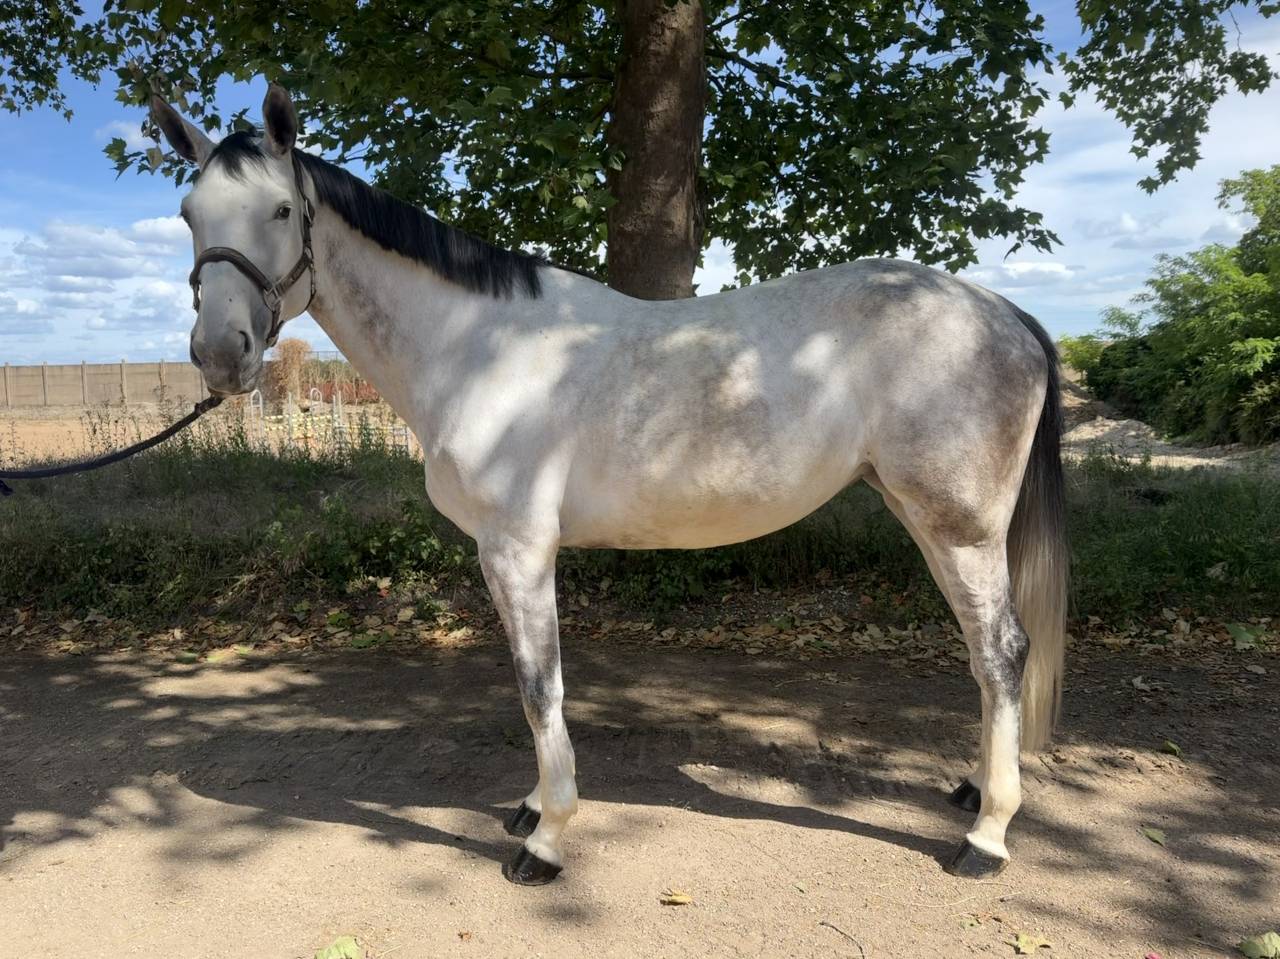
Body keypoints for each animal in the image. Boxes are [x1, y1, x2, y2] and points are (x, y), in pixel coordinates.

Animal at [150, 82, 1066, 886]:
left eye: (280, 210)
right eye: (189, 216)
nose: (221, 355)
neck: (477, 346)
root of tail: (1007, 315)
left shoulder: (520, 548)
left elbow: (539, 685)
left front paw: (547, 839)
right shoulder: (500, 555)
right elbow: (532, 683)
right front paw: (530, 806)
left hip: (959, 527)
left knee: (1001, 652)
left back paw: (986, 837)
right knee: (983, 657)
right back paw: (975, 793)